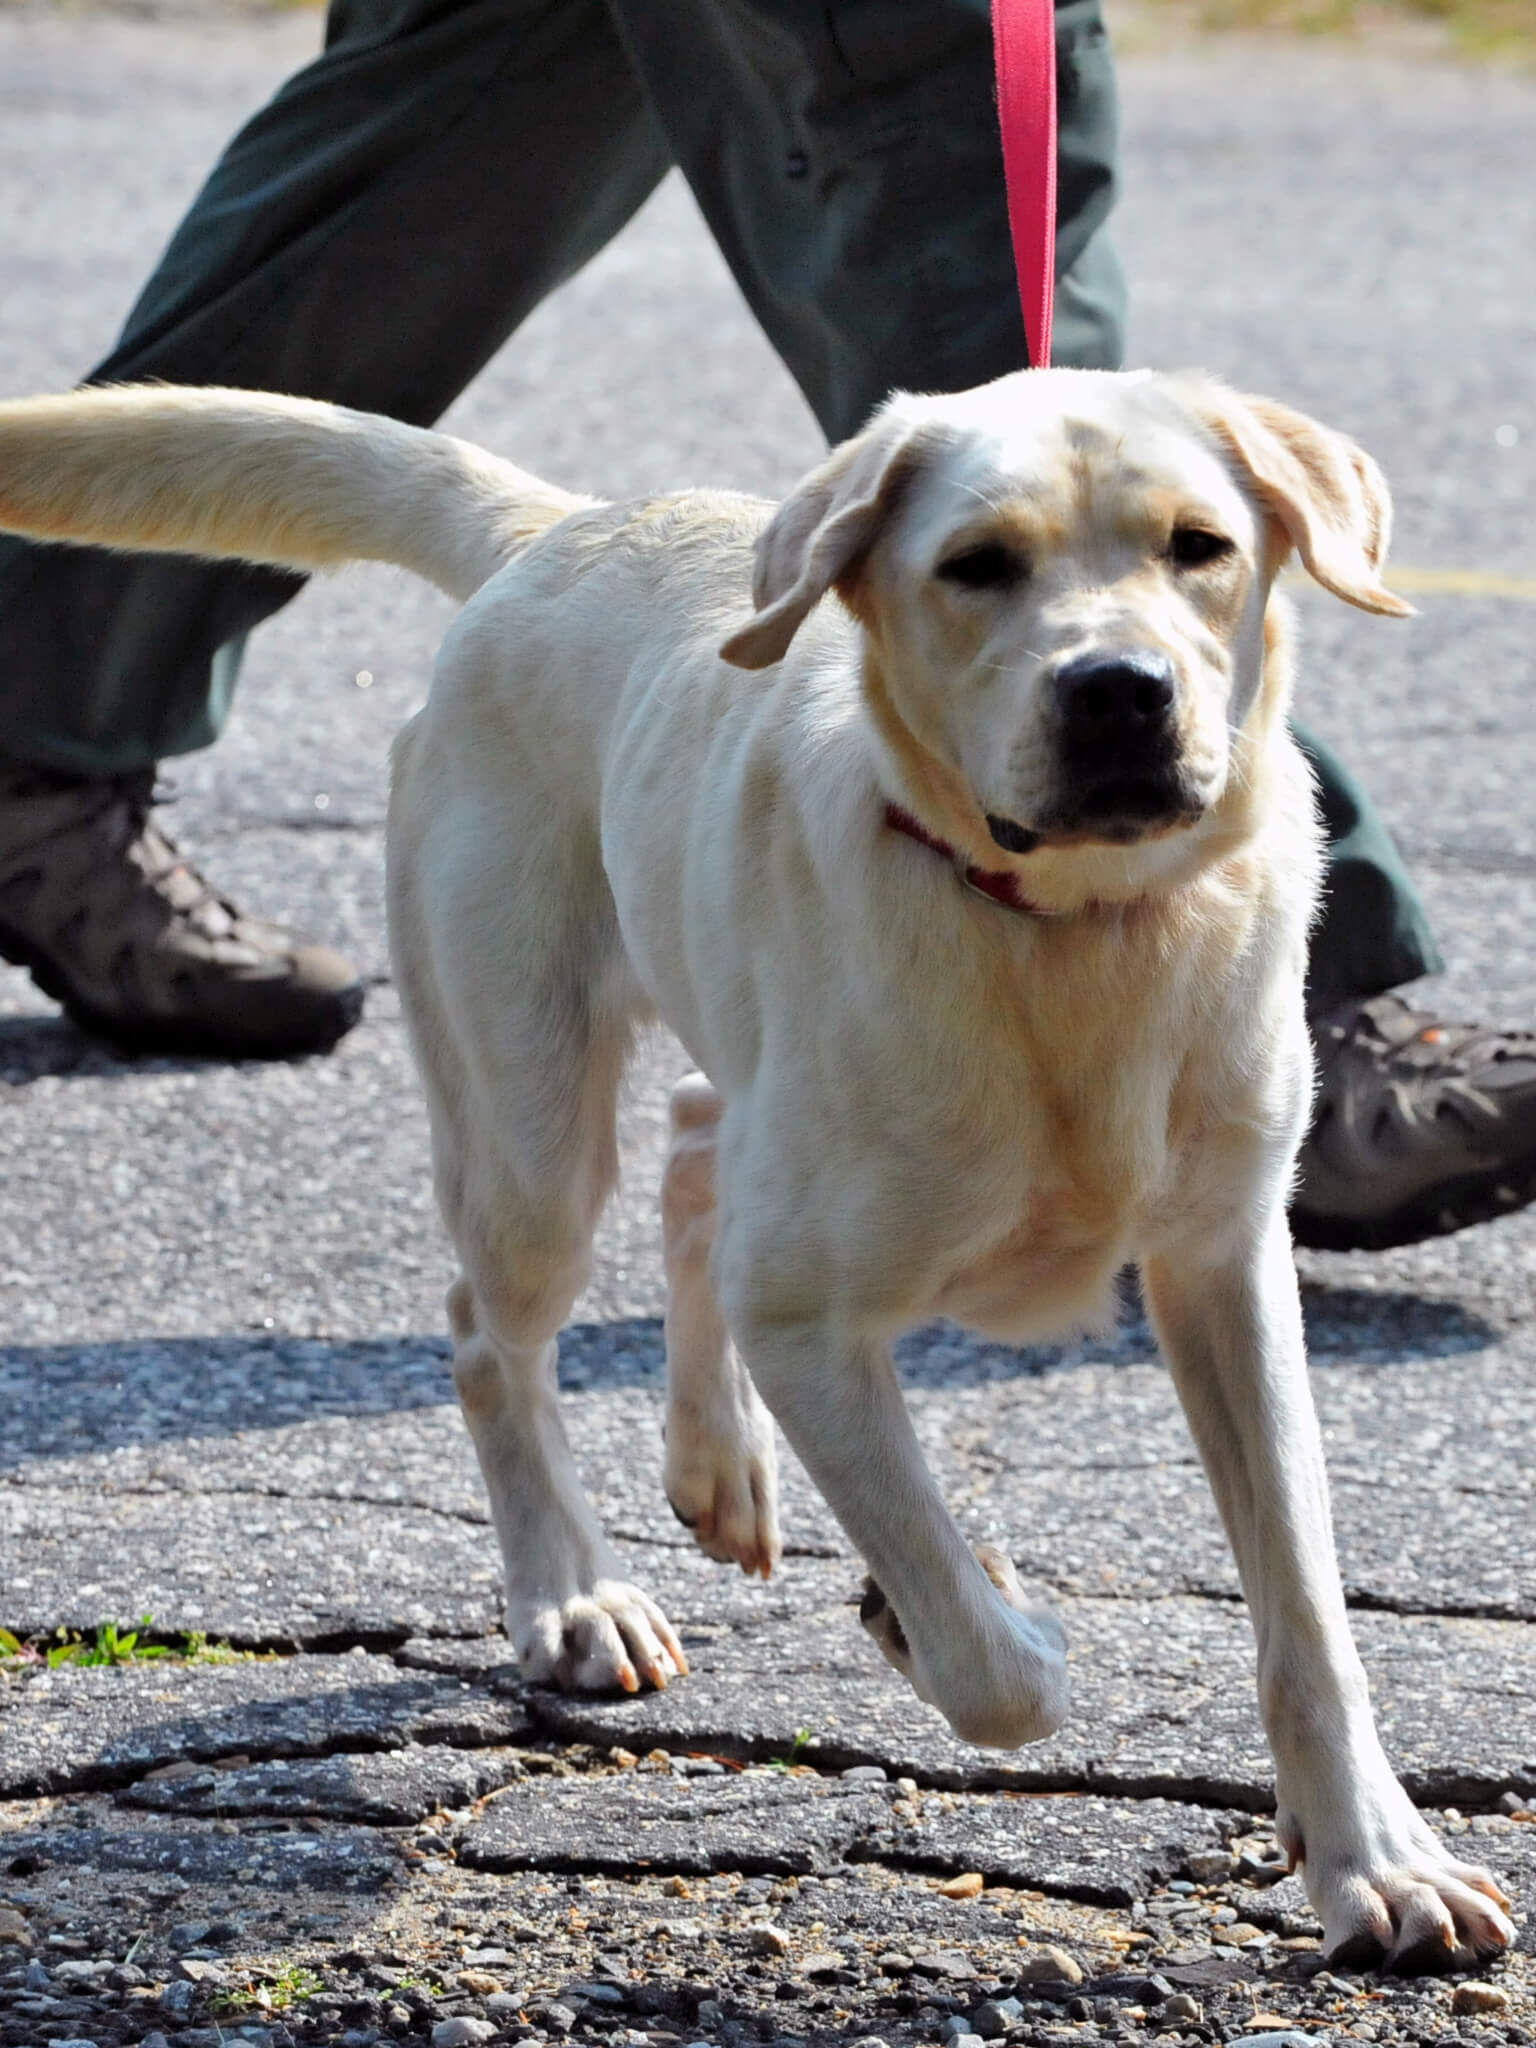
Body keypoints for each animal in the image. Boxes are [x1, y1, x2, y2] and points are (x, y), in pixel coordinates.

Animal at [0, 368, 1515, 1966]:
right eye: (977, 564)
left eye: (1200, 547)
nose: (1119, 690)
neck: (1073, 933)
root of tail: (560, 529)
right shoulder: (806, 1317)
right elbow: (982, 1654)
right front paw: (972, 1614)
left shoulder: (1225, 1267)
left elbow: (1308, 1617)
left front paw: (1377, 1859)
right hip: (529, 1123)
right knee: (496, 1326)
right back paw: (575, 1592)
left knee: (692, 1142)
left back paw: (714, 1462)